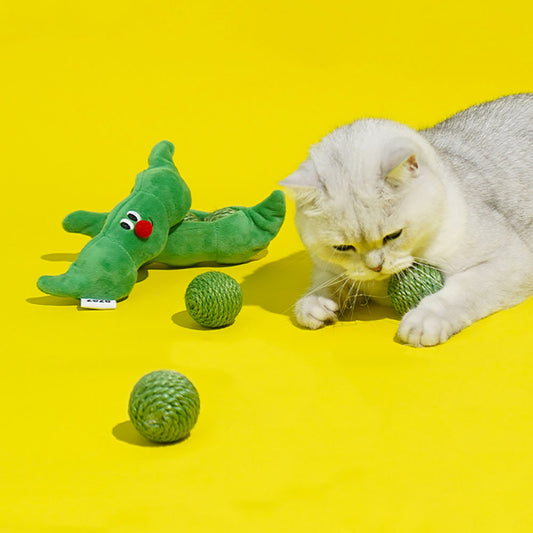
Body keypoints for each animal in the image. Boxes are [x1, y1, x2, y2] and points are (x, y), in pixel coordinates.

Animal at [280, 94, 532, 348]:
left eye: (393, 235)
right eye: (343, 248)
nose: (376, 267)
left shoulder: (510, 258)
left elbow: (463, 288)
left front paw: (425, 320)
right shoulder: (328, 265)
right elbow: (327, 279)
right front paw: (315, 303)